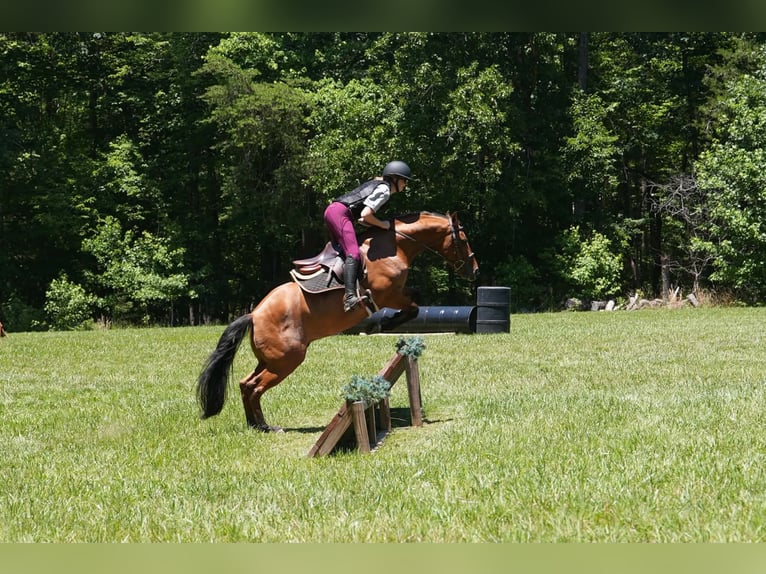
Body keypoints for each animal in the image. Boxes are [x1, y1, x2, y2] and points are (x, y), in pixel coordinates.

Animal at [196, 211, 479, 432]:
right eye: (464, 240)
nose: (474, 270)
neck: (395, 245)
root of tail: (254, 314)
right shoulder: (388, 294)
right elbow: (414, 307)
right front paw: (381, 324)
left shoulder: (397, 293)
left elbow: (415, 302)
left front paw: (382, 323)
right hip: (286, 360)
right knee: (254, 387)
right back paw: (267, 426)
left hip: (270, 359)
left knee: (245, 384)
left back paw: (254, 425)